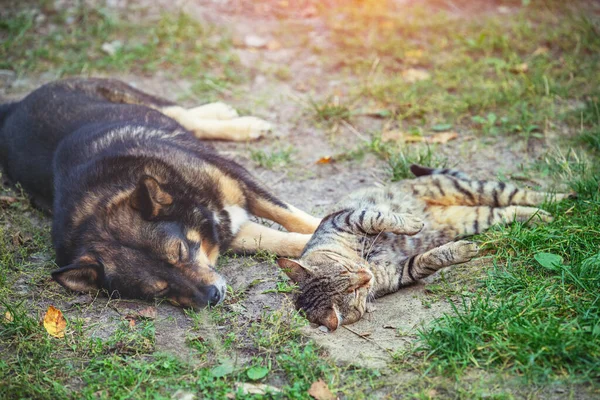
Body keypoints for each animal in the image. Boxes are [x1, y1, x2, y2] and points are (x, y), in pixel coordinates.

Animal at [0, 79, 322, 310]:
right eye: (159, 290)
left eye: (180, 252)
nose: (213, 296)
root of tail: (13, 108)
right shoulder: (230, 232)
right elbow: (284, 241)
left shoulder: (240, 182)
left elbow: (294, 217)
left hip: (132, 98)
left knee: (183, 115)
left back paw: (236, 120)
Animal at [276, 164, 572, 330]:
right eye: (354, 292)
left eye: (347, 271)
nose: (366, 276)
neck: (369, 262)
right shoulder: (400, 272)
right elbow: (427, 259)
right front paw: (460, 251)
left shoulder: (348, 218)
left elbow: (380, 217)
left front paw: (412, 222)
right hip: (478, 216)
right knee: (508, 209)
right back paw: (543, 214)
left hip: (467, 188)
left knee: (521, 193)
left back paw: (564, 197)